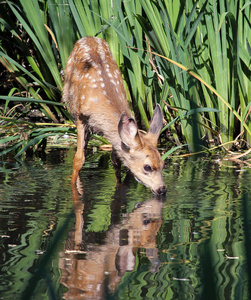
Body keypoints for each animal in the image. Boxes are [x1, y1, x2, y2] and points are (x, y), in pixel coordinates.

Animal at [63, 36, 167, 196]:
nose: (162, 189)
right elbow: (78, 159)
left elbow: (116, 160)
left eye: (163, 164)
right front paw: (73, 187)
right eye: (147, 167)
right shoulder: (80, 116)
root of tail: (88, 37)